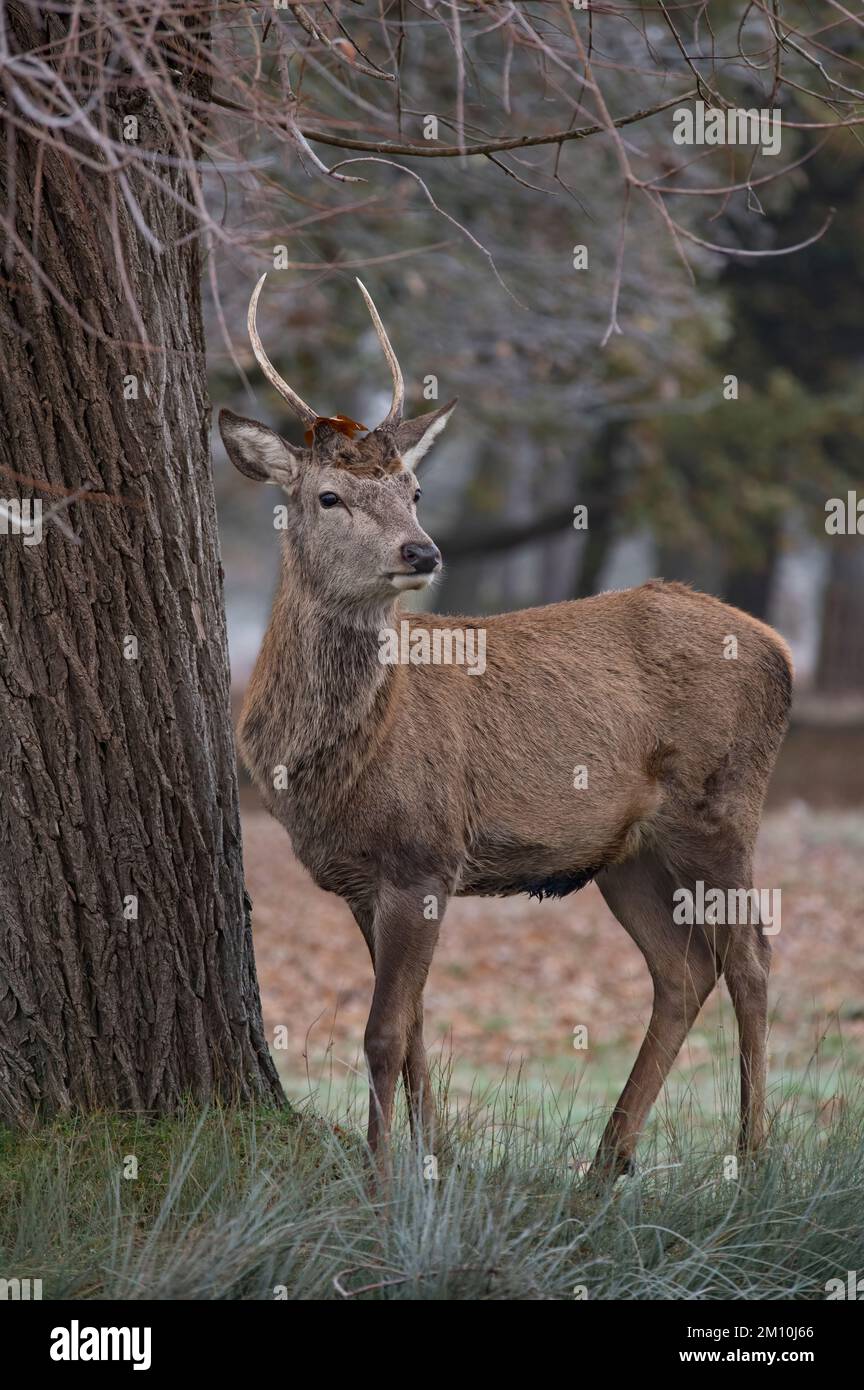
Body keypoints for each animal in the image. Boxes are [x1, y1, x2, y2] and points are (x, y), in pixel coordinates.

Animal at [219, 276, 794, 1178]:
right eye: (329, 496)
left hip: (725, 805)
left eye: (414, 492)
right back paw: (605, 1165)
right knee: (682, 970)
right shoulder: (360, 877)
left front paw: (383, 1179)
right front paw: (435, 1163)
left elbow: (383, 1033)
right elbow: (415, 1029)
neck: (333, 765)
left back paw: (752, 1159)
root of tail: (781, 650)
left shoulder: (425, 849)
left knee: (752, 960)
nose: (421, 551)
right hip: (626, 851)